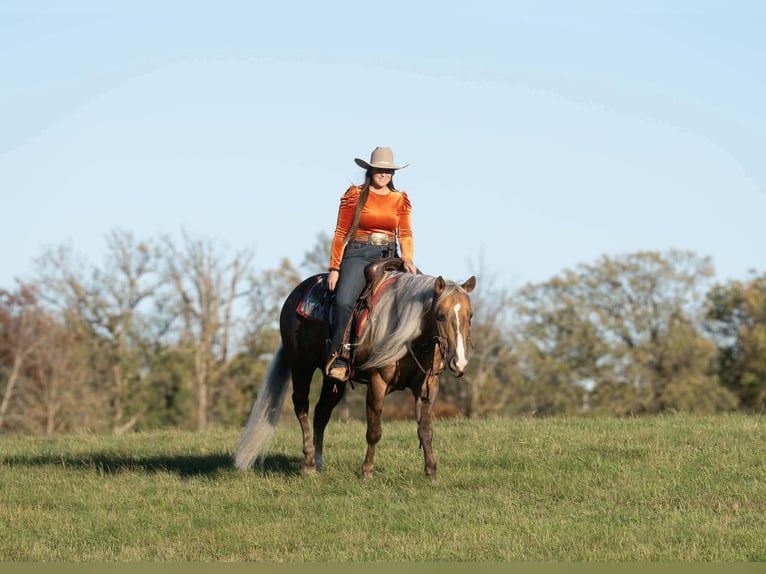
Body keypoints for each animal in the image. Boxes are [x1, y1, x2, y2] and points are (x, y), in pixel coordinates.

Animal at [234, 262, 476, 478]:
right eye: (440, 315)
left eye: (470, 316)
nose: (459, 362)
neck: (408, 333)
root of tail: (297, 293)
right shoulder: (377, 383)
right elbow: (374, 431)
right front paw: (367, 470)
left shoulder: (427, 385)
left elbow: (425, 430)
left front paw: (431, 471)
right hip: (301, 366)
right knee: (302, 407)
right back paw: (309, 462)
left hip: (333, 380)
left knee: (321, 413)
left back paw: (319, 462)